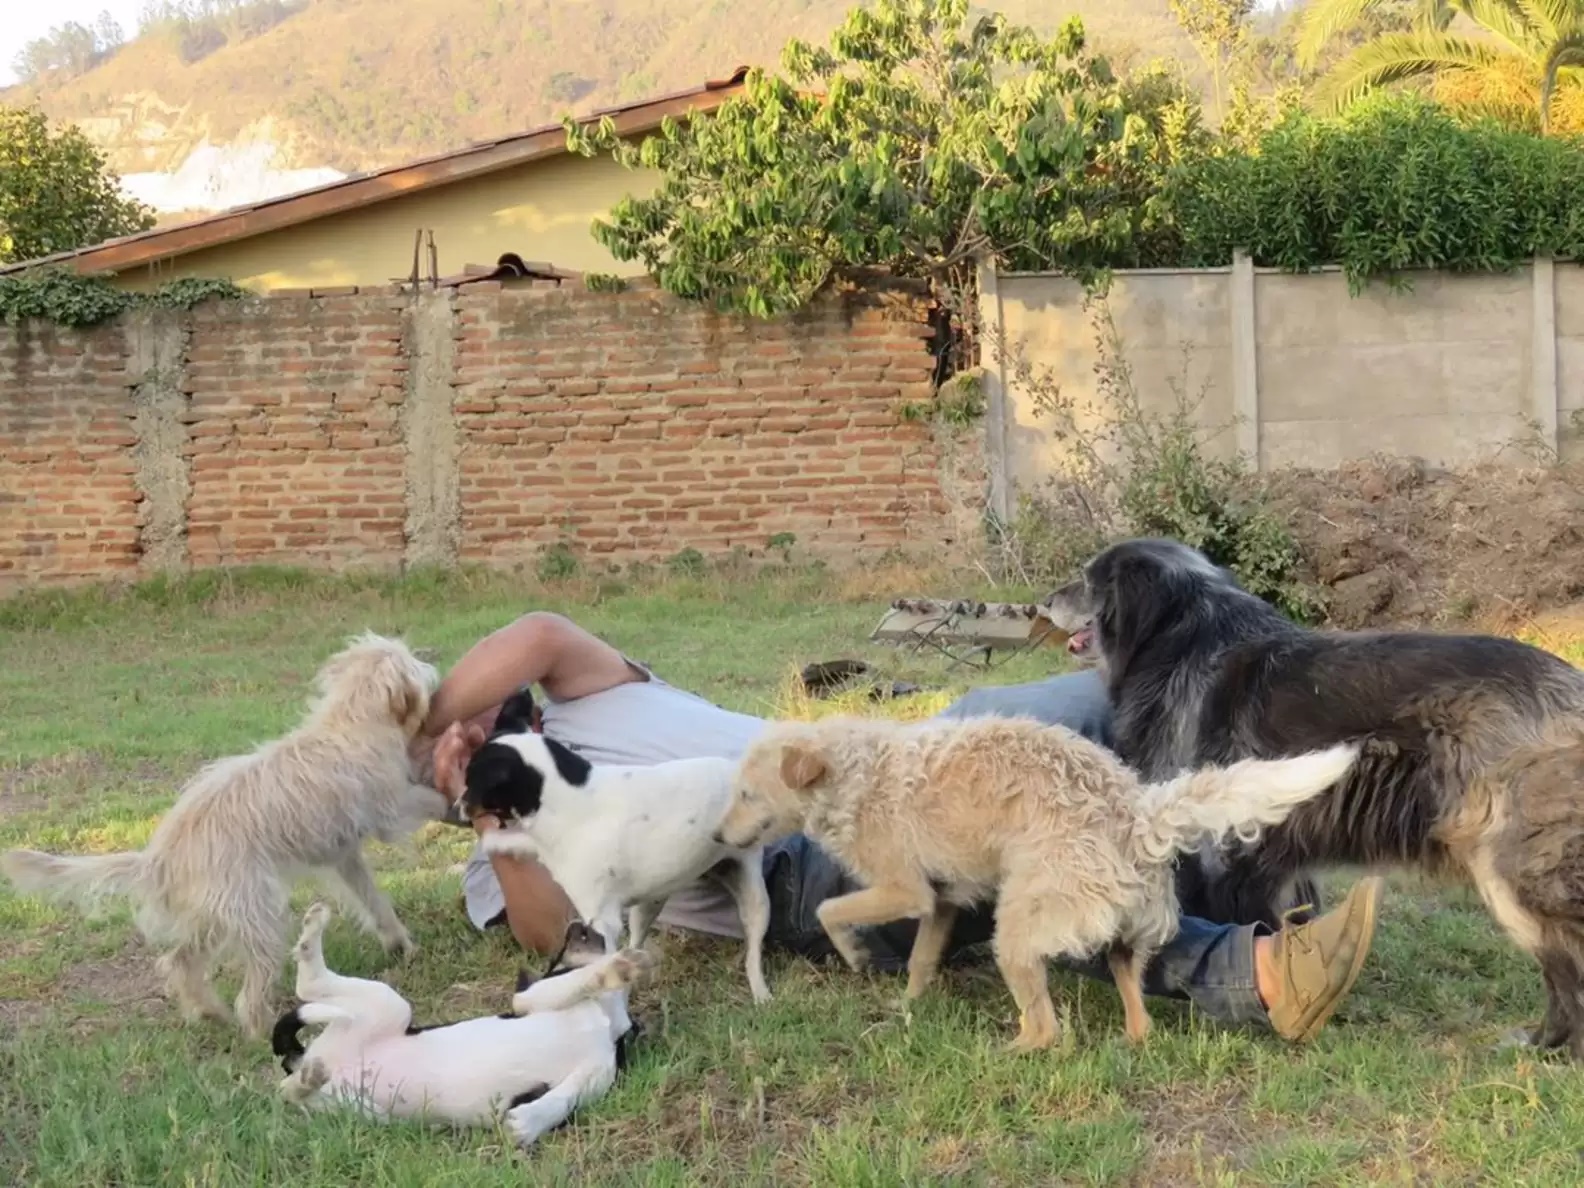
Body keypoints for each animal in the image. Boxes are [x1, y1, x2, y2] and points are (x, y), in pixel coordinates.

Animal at [1, 633, 446, 1039]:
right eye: (409, 660)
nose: (432, 666)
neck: (350, 721)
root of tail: (160, 857)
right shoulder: (391, 810)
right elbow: (428, 800)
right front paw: (454, 799)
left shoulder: (343, 855)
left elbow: (373, 900)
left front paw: (399, 944)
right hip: (259, 915)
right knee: (248, 994)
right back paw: (260, 1030)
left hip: (216, 916)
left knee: (179, 962)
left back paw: (209, 1012)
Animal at [272, 906, 649, 1146]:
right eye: (558, 957)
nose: (578, 925)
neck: (603, 1016)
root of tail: (305, 1057)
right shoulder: (530, 998)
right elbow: (578, 980)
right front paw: (613, 970)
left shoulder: (595, 1075)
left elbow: (563, 1099)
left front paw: (527, 1123)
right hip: (390, 1005)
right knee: (308, 986)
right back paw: (313, 929)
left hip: (359, 1109)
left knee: (290, 1090)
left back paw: (308, 1078)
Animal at [459, 687, 772, 1007]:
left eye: (471, 784)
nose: (459, 805)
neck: (569, 798)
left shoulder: (601, 922)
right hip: (647, 905)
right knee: (637, 942)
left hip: (756, 901)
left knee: (753, 951)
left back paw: (760, 992)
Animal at [722, 715, 1362, 1051]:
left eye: (748, 794)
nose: (721, 838)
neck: (854, 773)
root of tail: (1138, 815)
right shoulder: (943, 901)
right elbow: (921, 960)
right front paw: (909, 1005)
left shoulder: (907, 891)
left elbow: (830, 909)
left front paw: (854, 954)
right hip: (1120, 941)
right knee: (1137, 1012)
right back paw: (1128, 1040)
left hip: (1018, 931)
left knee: (1047, 1028)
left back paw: (1004, 1052)